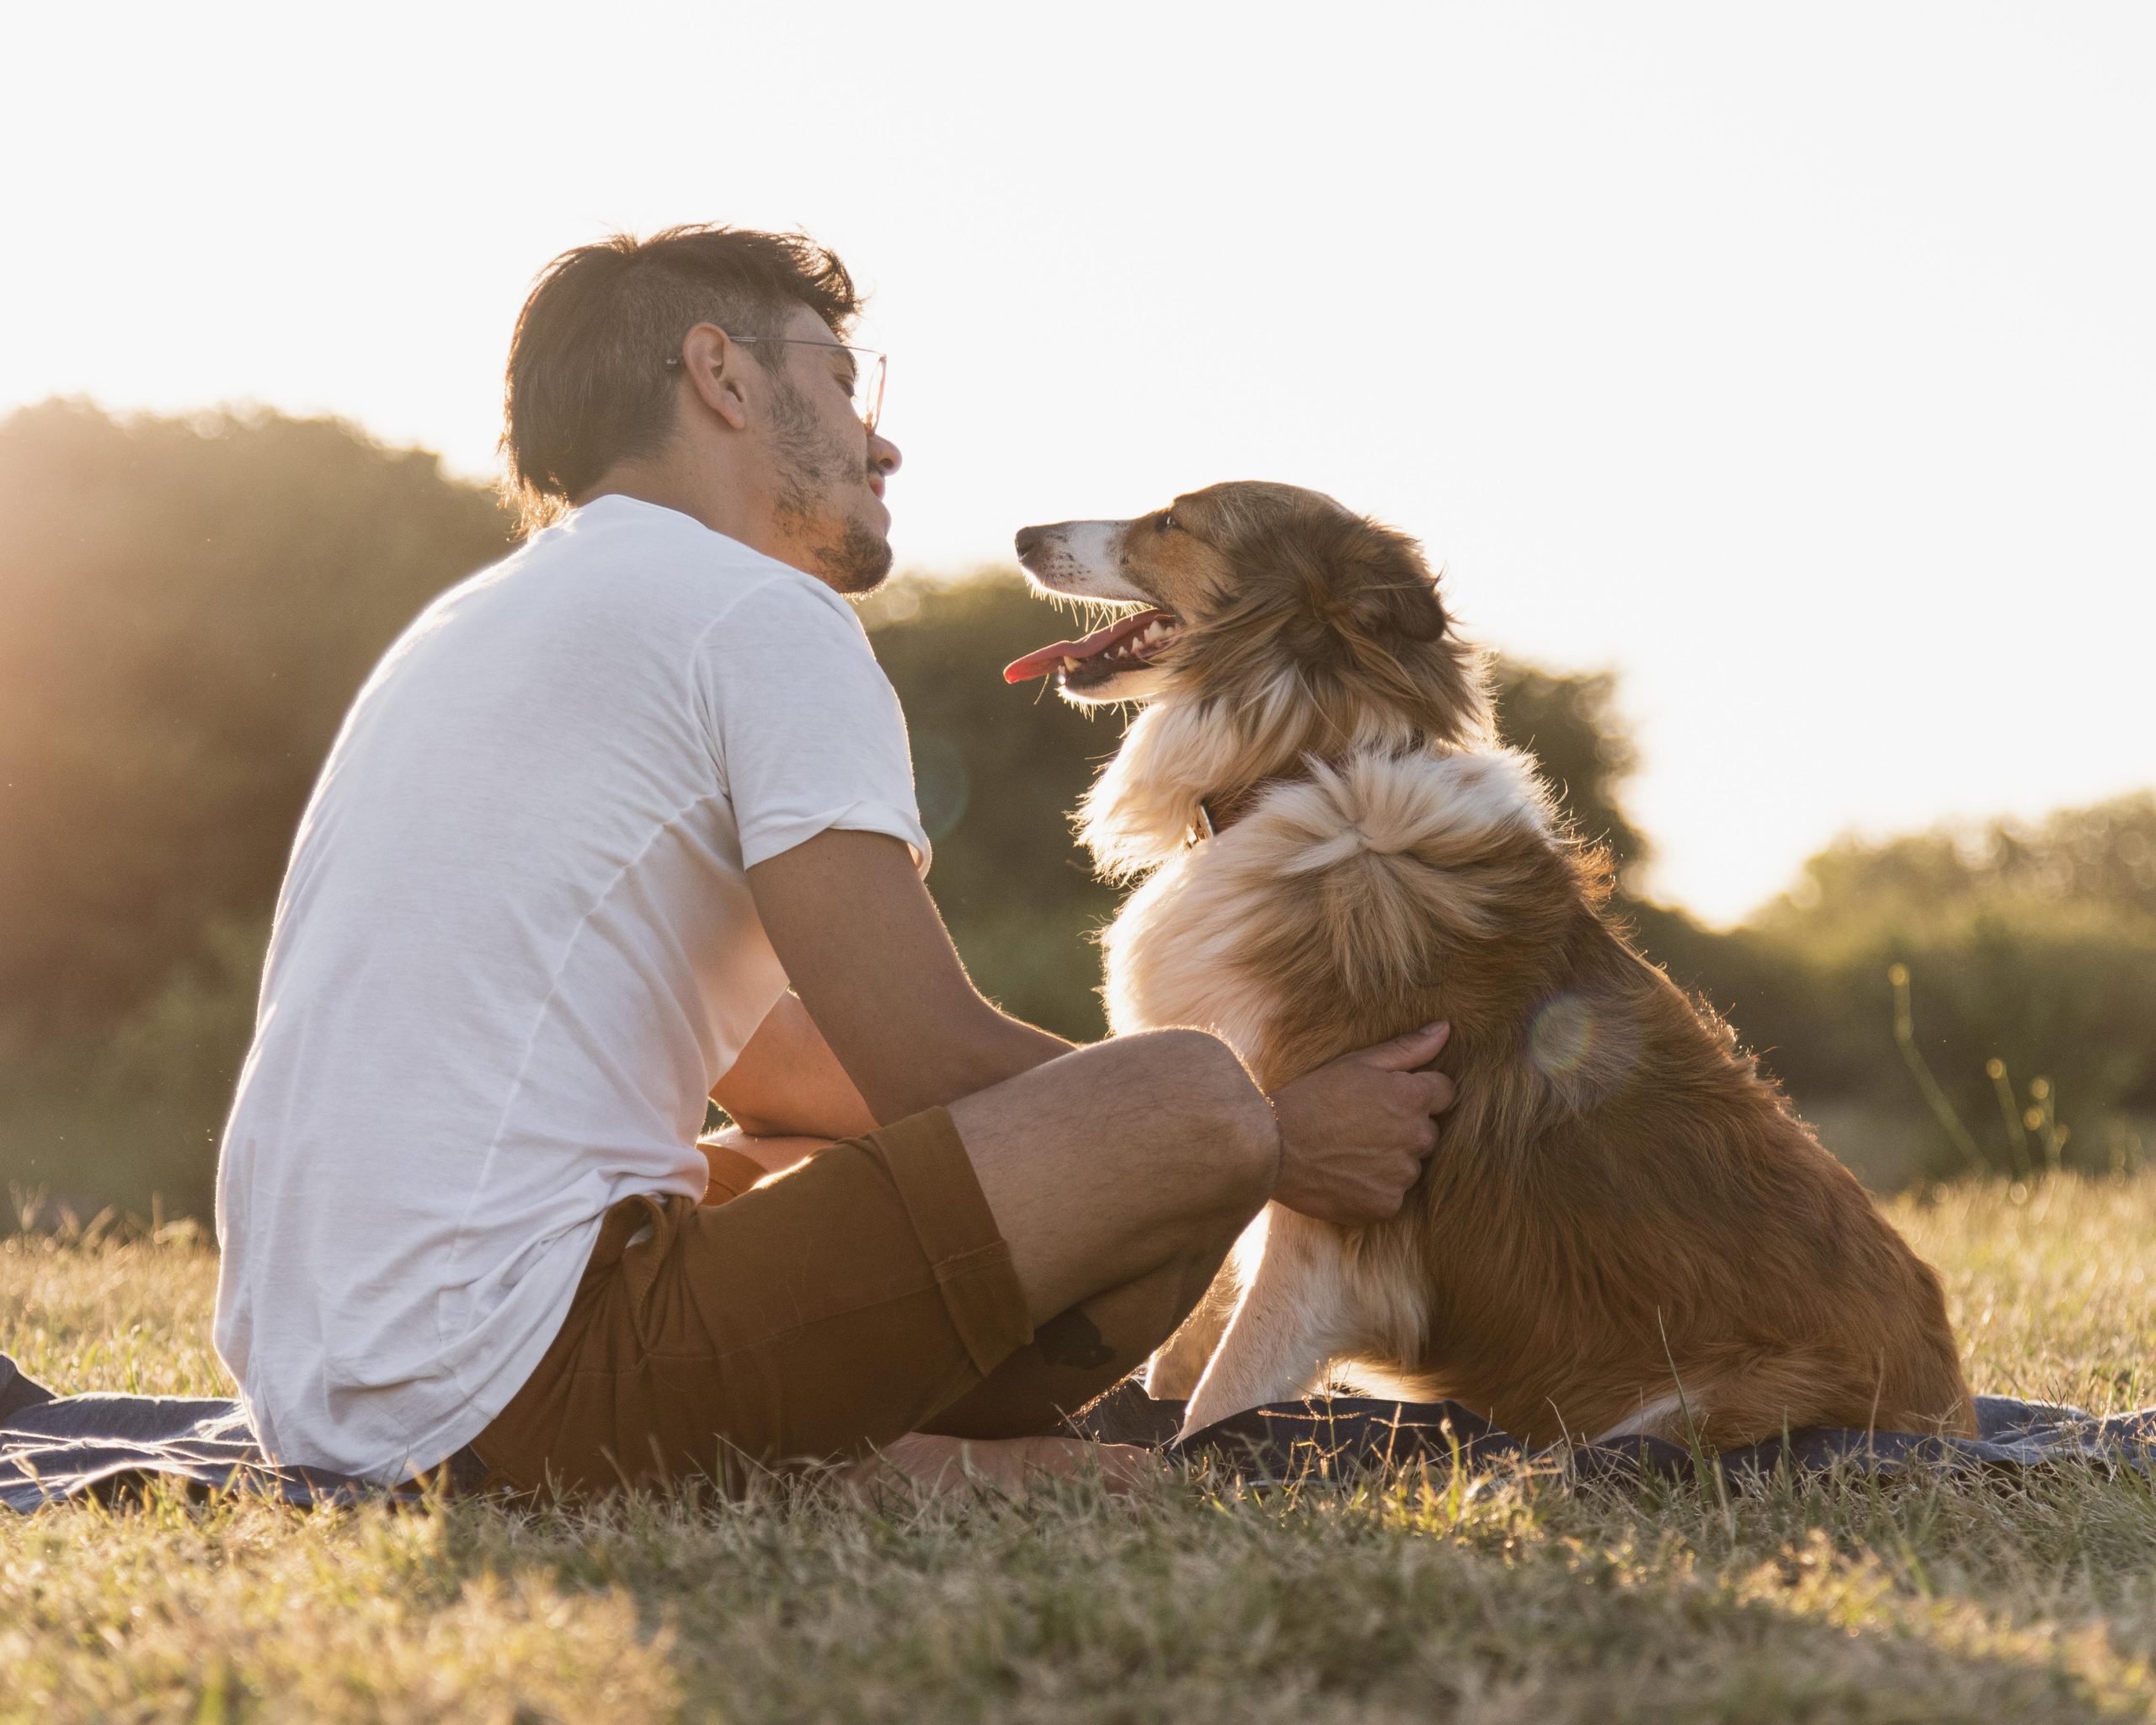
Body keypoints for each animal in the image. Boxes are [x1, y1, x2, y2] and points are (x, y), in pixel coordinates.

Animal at [1000, 480, 1974, 1440]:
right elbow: (1180, 1365)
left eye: (1174, 520)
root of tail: (1954, 1410)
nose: (1018, 534)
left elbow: (1212, 1406)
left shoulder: (1332, 1235)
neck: (1307, 763)